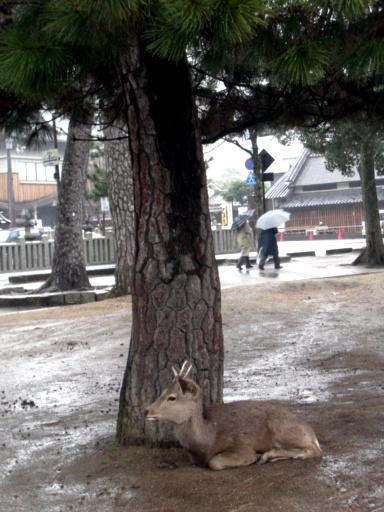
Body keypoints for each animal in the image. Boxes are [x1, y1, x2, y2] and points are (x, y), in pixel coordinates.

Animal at [144, 362, 320, 470]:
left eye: (172, 398)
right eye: (162, 392)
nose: (146, 410)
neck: (207, 440)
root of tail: (312, 432)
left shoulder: (241, 444)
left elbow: (215, 462)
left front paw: (255, 457)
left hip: (282, 429)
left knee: (314, 450)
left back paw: (265, 456)